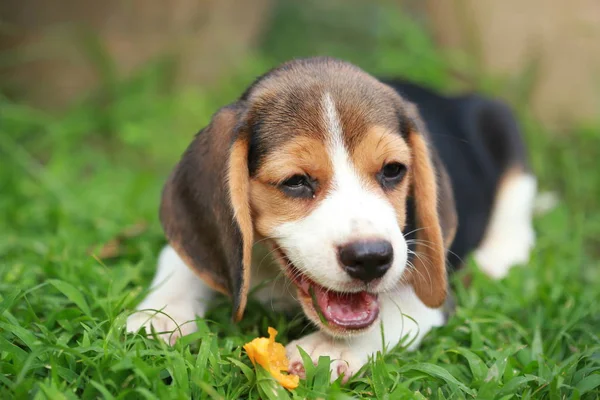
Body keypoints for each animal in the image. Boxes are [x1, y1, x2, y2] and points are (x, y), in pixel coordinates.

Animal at [125, 56, 536, 382]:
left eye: (393, 170)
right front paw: (160, 316)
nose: (370, 258)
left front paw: (324, 350)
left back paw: (500, 255)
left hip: (500, 120)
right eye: (295, 181)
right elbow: (180, 264)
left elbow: (391, 313)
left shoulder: (427, 287)